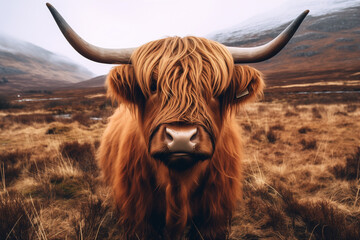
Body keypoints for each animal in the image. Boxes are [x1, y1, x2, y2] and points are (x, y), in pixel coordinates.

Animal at [46, 3, 308, 238]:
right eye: (153, 86)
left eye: (215, 89)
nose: (181, 138)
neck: (178, 186)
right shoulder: (137, 218)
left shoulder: (214, 219)